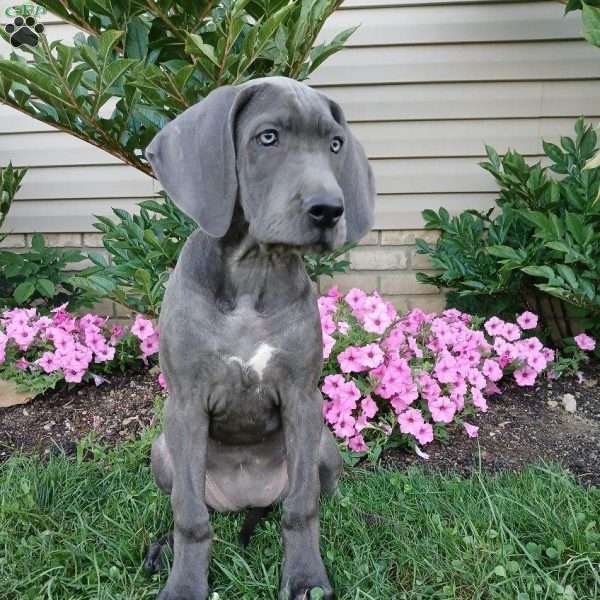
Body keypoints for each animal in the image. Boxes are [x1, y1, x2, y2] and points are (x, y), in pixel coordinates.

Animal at [145, 76, 376, 600]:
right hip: (163, 450)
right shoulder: (185, 403)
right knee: (188, 503)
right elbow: (189, 517)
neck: (253, 271)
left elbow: (302, 507)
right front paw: (184, 584)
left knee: (315, 493)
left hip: (323, 443)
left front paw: (307, 578)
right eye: (267, 138)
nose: (330, 210)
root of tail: (245, 500)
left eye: (335, 144)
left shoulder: (302, 398)